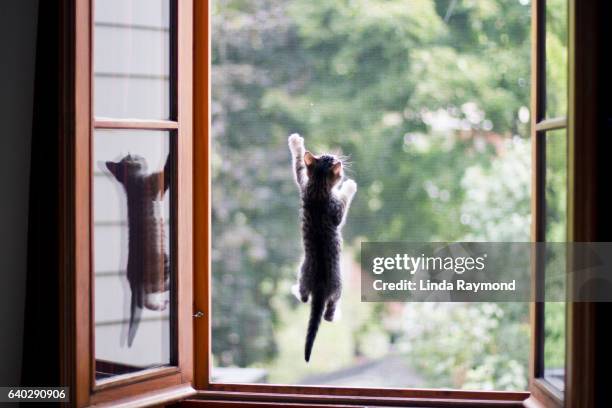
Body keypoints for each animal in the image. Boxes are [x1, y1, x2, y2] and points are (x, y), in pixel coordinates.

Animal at [105, 155, 171, 346]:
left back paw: (161, 303)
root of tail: (133, 281)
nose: (134, 156)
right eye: (128, 159)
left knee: (148, 300)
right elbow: (166, 171)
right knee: (154, 290)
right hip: (158, 265)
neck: (133, 184)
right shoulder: (155, 183)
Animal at [288, 132, 356, 362]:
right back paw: (334, 315)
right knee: (327, 313)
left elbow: (298, 165)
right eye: (330, 158)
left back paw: (296, 289)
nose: (337, 157)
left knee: (303, 296)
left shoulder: (303, 182)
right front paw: (349, 185)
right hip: (338, 287)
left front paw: (296, 143)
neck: (318, 186)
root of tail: (318, 287)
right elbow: (342, 203)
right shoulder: (335, 211)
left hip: (302, 271)